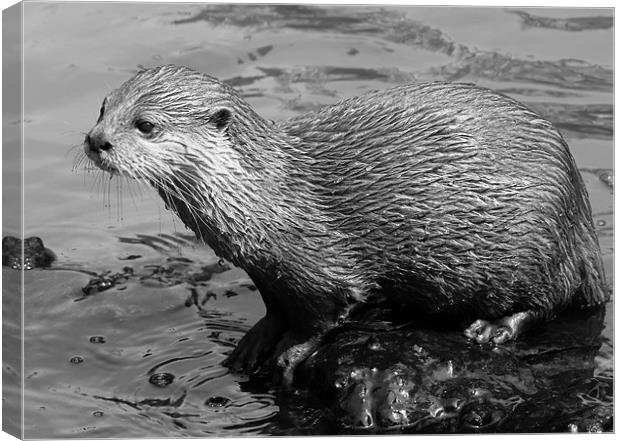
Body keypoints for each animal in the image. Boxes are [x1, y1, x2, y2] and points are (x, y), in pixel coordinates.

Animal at [81, 64, 604, 382]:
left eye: (146, 125)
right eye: (104, 107)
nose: (95, 140)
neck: (266, 198)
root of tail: (580, 209)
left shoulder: (320, 264)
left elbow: (325, 314)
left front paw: (291, 352)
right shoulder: (267, 270)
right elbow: (275, 309)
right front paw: (255, 342)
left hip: (536, 242)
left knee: (553, 299)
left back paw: (493, 328)